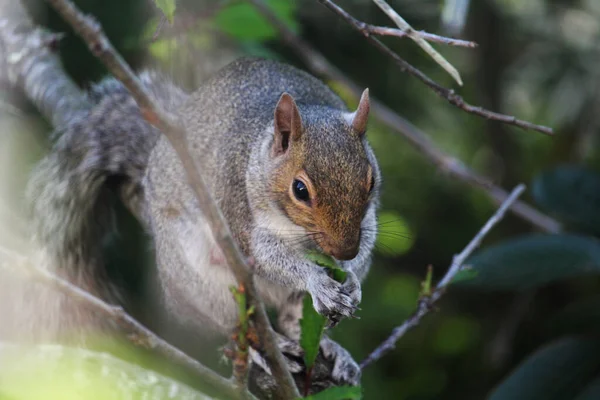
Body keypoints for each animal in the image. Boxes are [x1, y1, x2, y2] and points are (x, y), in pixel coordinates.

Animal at [24, 57, 380, 388]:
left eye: (371, 181)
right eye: (300, 189)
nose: (344, 251)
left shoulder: (369, 224)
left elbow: (363, 250)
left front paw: (351, 280)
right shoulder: (236, 208)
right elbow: (267, 256)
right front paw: (317, 281)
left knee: (293, 320)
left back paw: (332, 349)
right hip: (201, 281)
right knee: (234, 327)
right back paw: (266, 349)